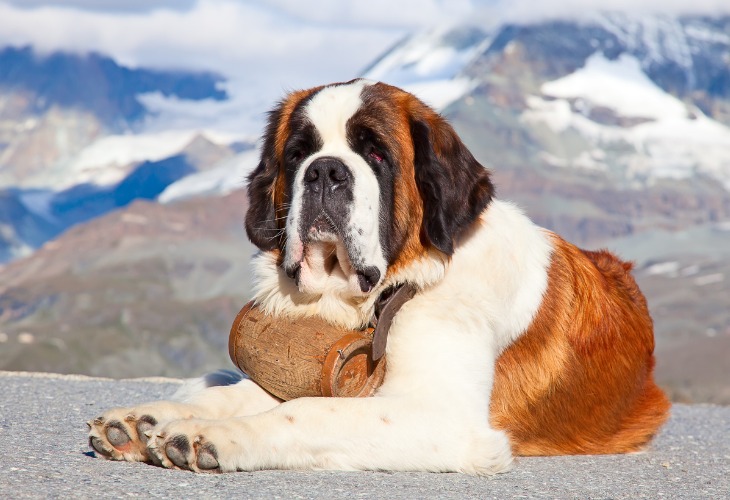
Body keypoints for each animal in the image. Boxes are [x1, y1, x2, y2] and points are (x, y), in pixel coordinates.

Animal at [88, 79, 668, 476]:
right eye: (298, 153)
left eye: (375, 153)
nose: (325, 170)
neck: (382, 295)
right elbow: (246, 392)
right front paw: (149, 420)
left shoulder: (440, 416)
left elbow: (307, 412)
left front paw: (209, 436)